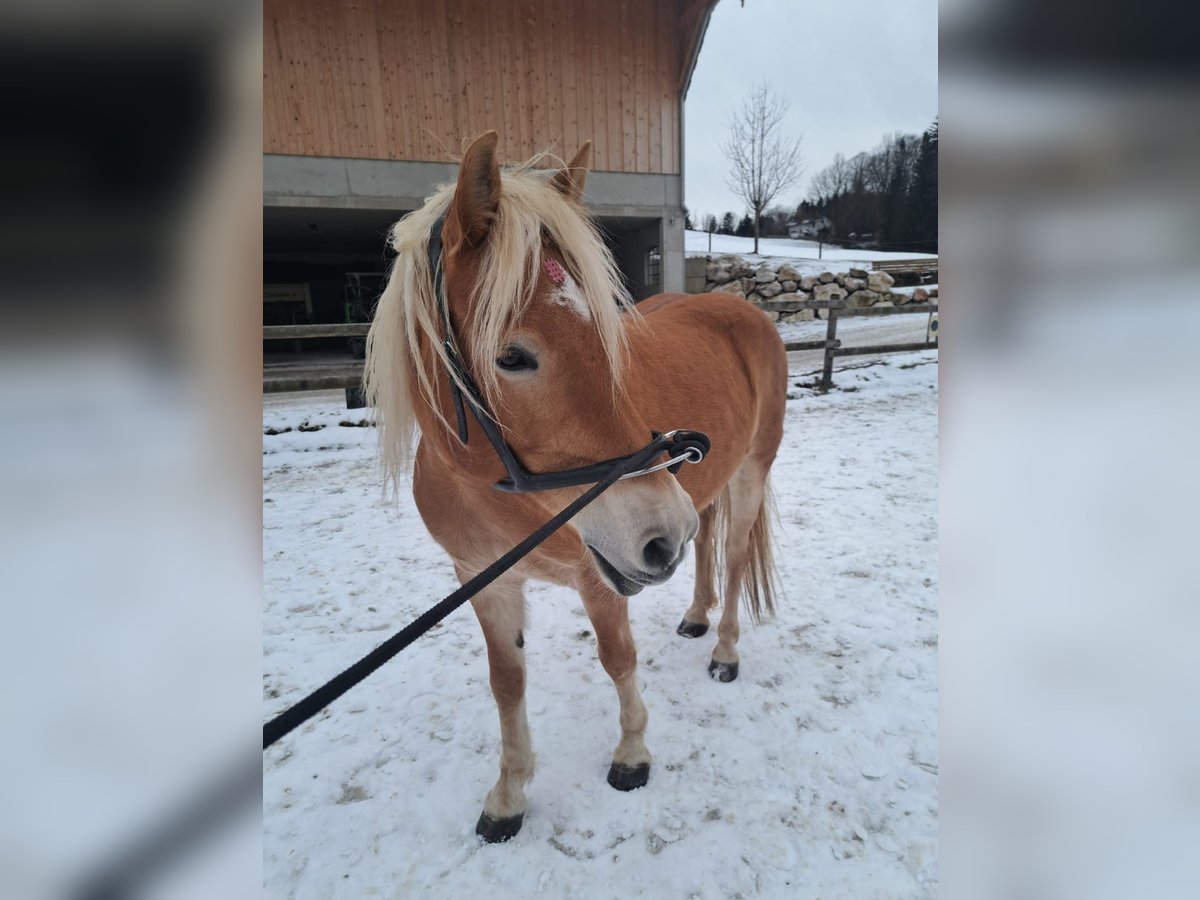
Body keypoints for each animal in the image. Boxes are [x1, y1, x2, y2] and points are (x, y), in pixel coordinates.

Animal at [362, 130, 787, 844]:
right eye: (511, 356)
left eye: (609, 333)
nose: (661, 533)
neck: (499, 493)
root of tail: (737, 308)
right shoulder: (483, 579)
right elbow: (506, 681)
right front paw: (508, 795)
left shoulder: (599, 576)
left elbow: (617, 659)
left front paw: (633, 755)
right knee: (706, 545)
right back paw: (697, 616)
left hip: (750, 471)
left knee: (730, 555)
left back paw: (725, 649)